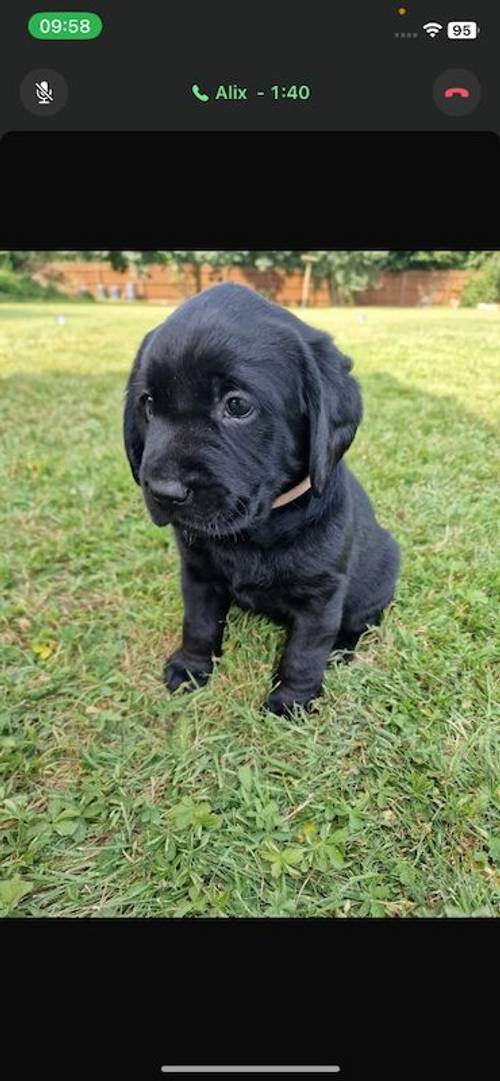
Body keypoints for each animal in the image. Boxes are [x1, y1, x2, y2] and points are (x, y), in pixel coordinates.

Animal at [123, 283, 401, 713]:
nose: (164, 492)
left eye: (237, 405)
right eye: (148, 403)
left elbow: (304, 651)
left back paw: (341, 649)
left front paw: (291, 701)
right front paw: (191, 667)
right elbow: (198, 624)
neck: (259, 529)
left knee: (361, 621)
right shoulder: (197, 574)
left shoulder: (321, 595)